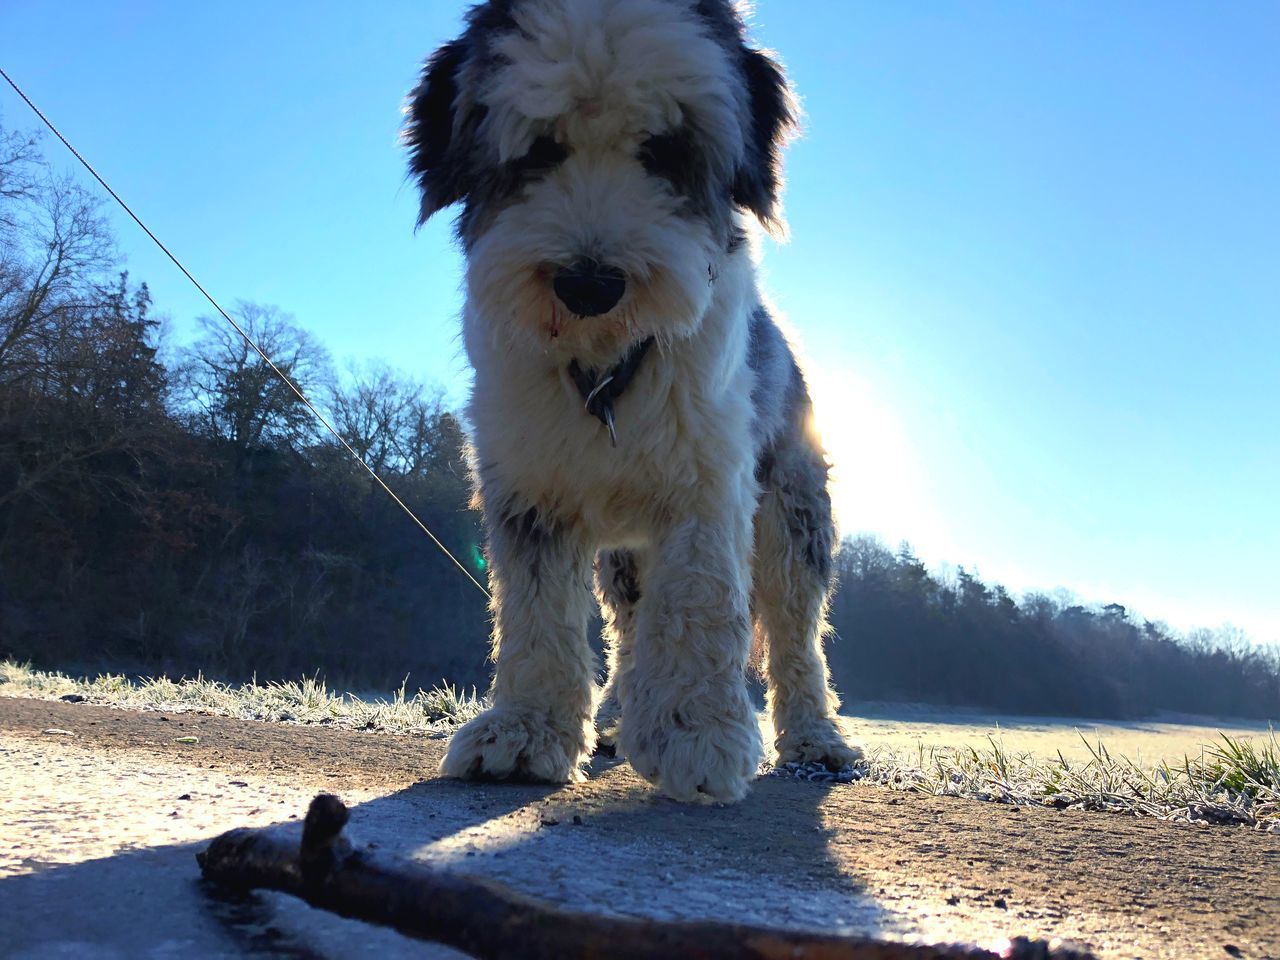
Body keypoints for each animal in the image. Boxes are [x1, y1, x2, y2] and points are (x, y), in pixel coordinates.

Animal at [399, 0, 860, 803]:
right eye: (537, 150)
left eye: (667, 151)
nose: (589, 284)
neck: (605, 372)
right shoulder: (527, 486)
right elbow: (535, 612)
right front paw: (524, 731)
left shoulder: (707, 481)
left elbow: (700, 603)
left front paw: (696, 738)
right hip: (623, 555)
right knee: (627, 624)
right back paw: (617, 712)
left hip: (794, 517)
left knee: (795, 634)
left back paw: (814, 737)